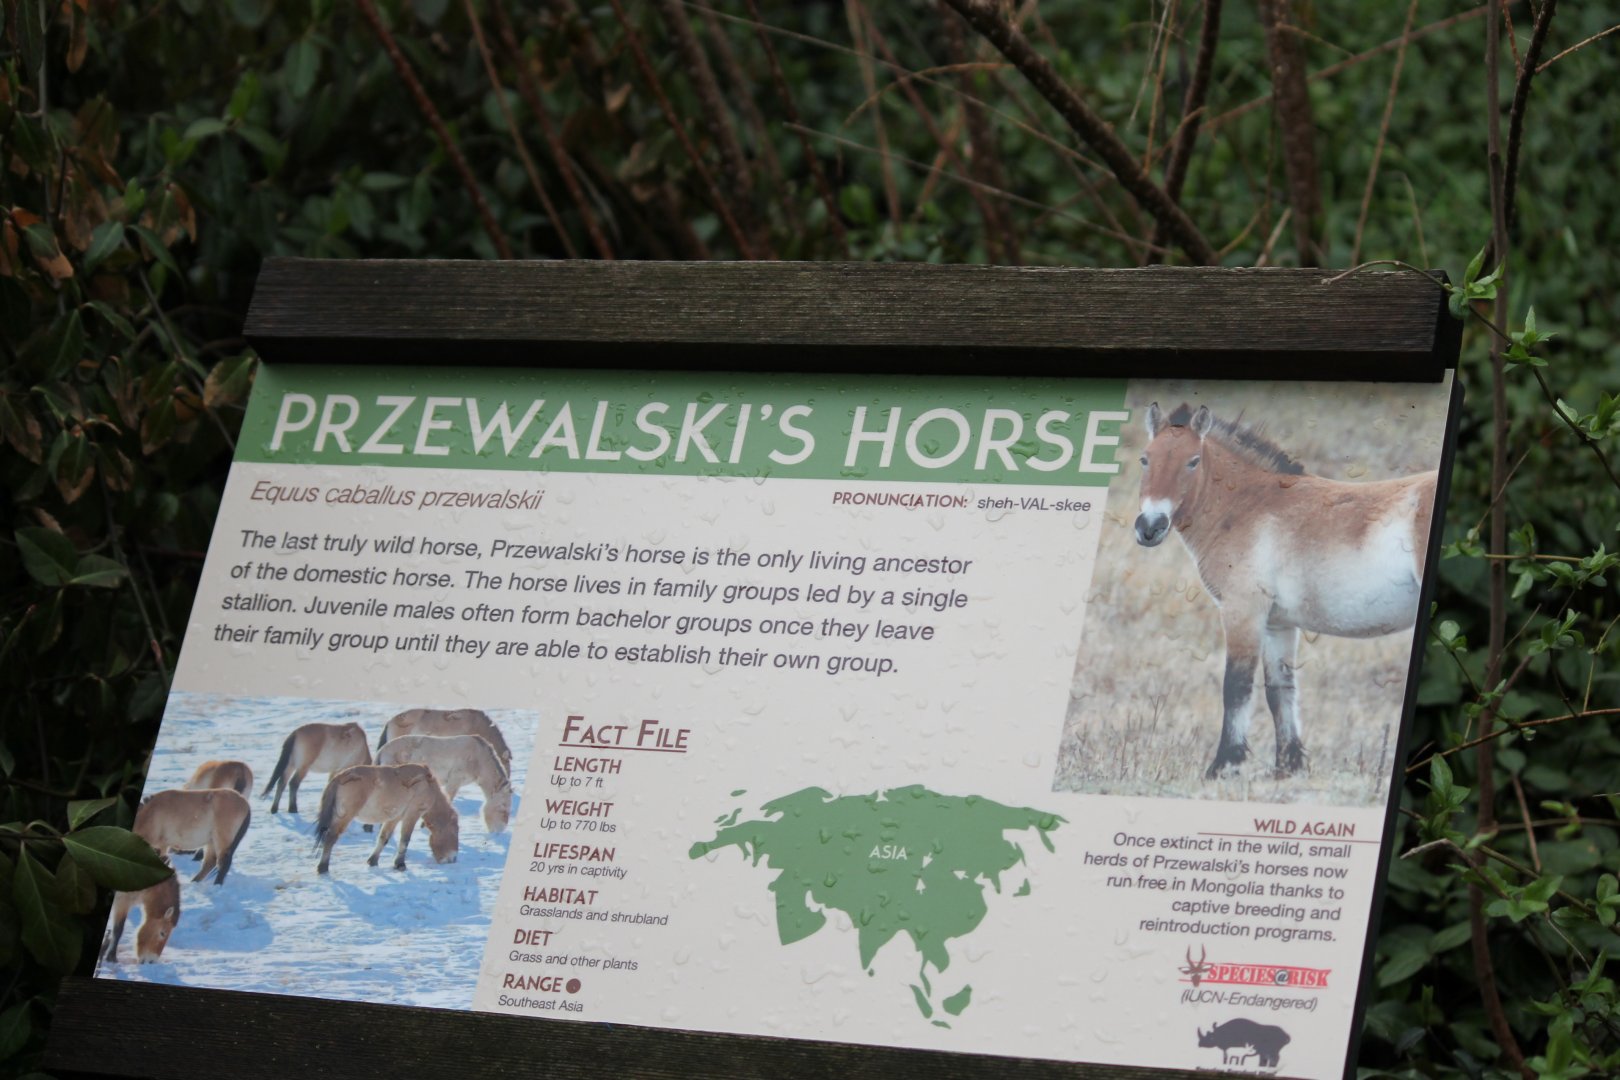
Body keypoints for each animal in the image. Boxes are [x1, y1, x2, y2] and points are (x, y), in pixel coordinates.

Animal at [313, 763, 459, 874]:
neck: (427, 784)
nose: (453, 859)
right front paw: (400, 864)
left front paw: (373, 861)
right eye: (455, 832)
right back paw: (323, 867)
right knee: (330, 837)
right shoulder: (412, 815)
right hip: (344, 816)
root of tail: (340, 776)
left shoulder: (394, 818)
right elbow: (405, 840)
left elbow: (383, 838)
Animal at [375, 733, 513, 833]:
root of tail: (381, 750)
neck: (480, 761)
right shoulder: (454, 780)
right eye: (503, 807)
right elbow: (448, 799)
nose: (499, 831)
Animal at [1133, 402, 1436, 779]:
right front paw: (1287, 768)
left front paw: (1223, 765)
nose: (1149, 527)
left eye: (1193, 461)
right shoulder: (1278, 624)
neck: (1246, 506)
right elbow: (1280, 691)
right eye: (1145, 459)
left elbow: (1236, 686)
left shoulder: (1242, 612)